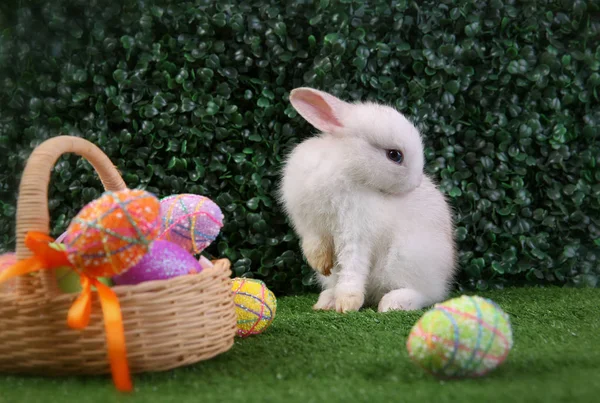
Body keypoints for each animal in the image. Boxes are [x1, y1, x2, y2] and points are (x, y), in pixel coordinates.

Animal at [278, 87, 458, 316]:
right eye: (395, 155)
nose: (416, 183)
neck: (345, 166)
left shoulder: (356, 234)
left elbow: (353, 267)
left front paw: (347, 303)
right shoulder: (308, 224)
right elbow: (314, 244)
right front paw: (321, 264)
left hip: (407, 258)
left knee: (426, 295)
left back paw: (392, 303)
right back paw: (326, 300)